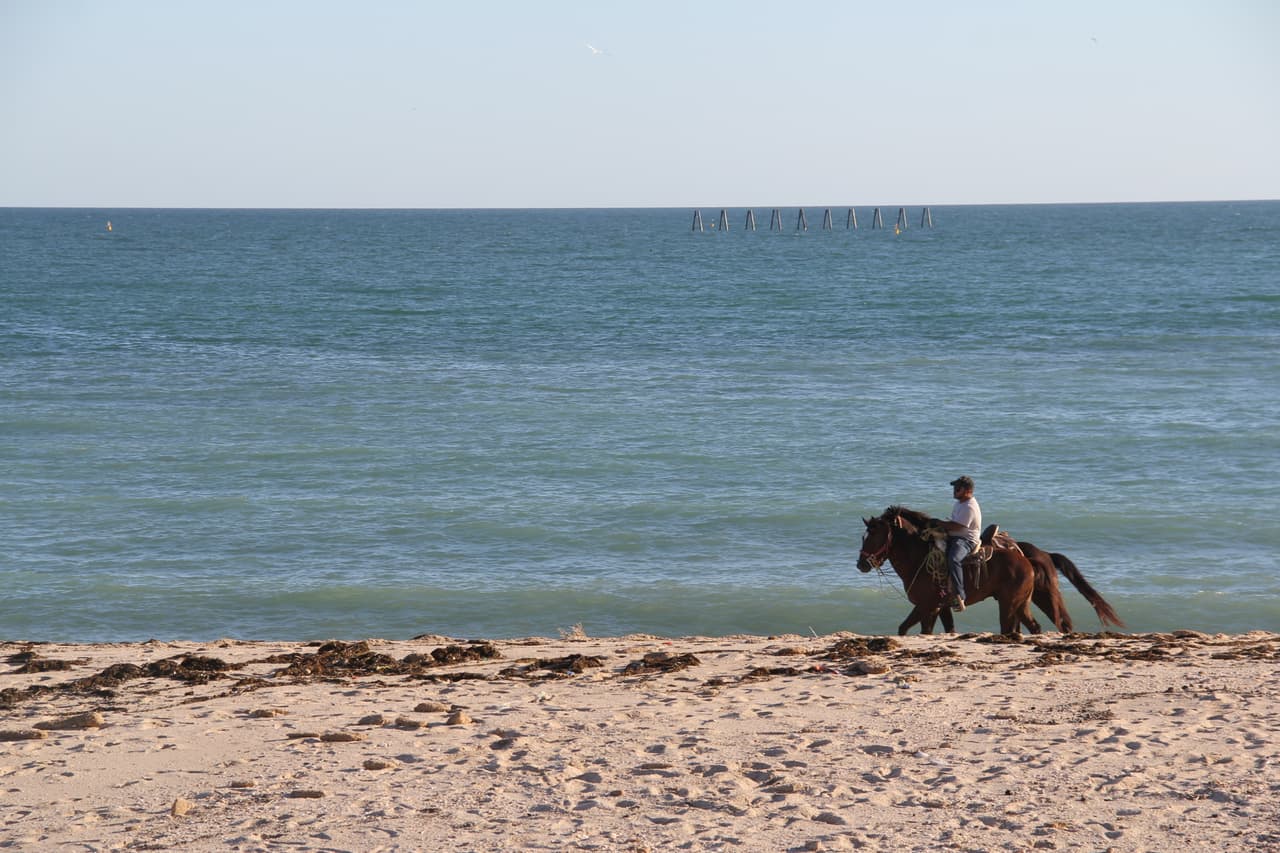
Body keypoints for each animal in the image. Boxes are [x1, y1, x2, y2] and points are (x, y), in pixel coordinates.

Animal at [856, 506, 1037, 636]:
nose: (861, 564)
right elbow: (940, 630)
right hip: (1021, 604)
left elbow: (906, 629)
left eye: (875, 536)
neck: (919, 559)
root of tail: (1025, 560)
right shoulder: (939, 608)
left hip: (1008, 604)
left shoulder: (927, 606)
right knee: (1034, 627)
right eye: (864, 537)